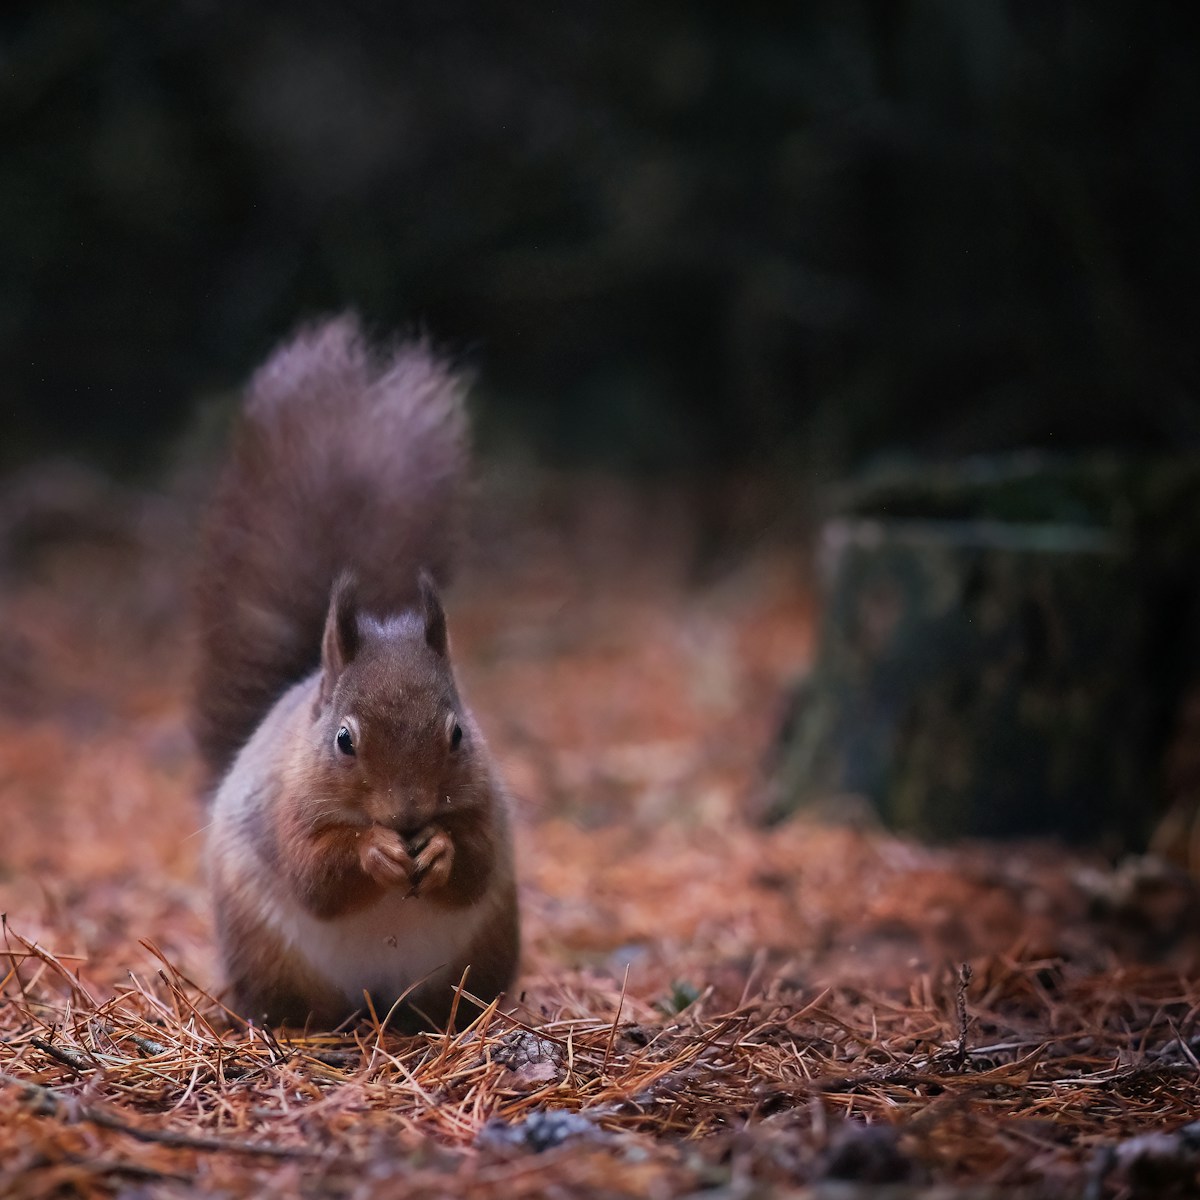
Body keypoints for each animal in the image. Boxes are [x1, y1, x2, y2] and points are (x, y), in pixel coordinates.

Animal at [191, 314, 519, 1030]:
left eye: (458, 734)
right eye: (343, 739)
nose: (408, 815)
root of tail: (377, 1006)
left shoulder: (485, 804)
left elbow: (476, 862)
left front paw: (441, 850)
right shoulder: (286, 806)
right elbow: (314, 875)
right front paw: (375, 851)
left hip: (483, 951)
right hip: (265, 950)